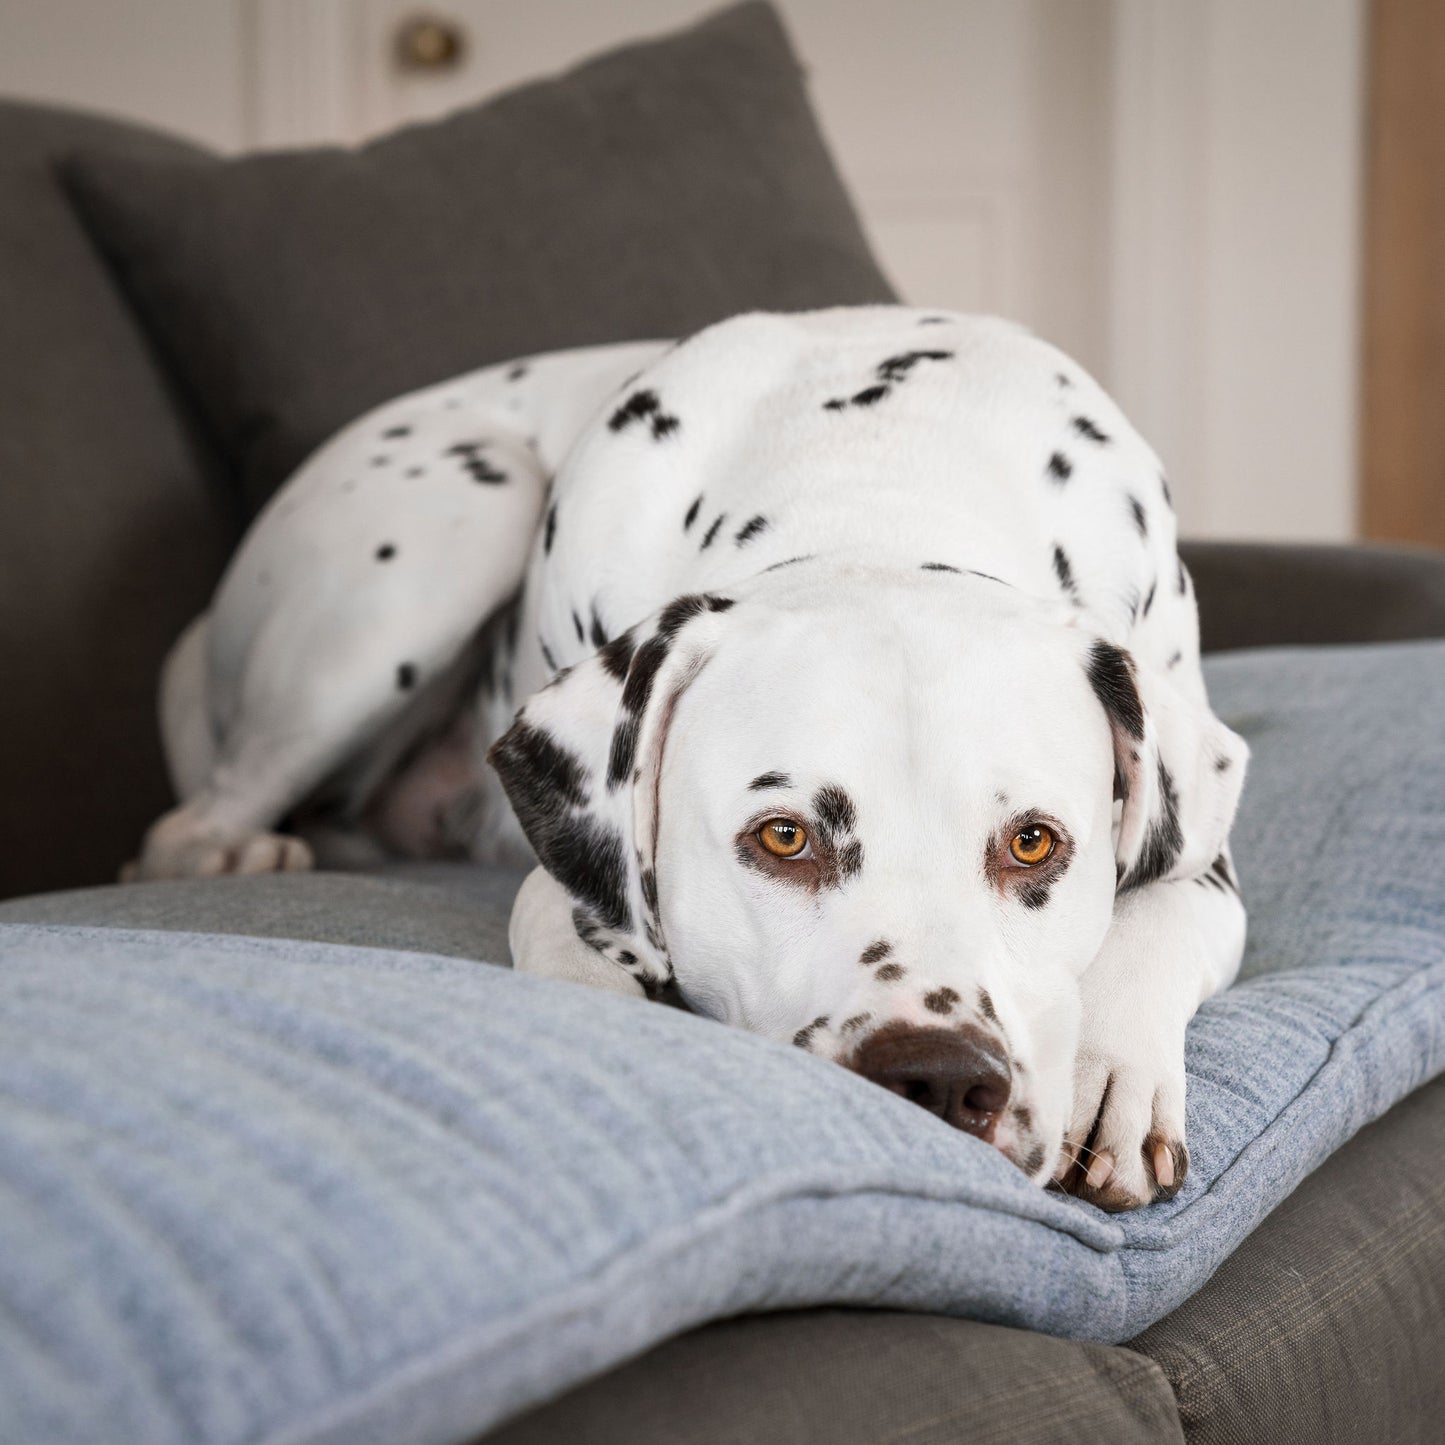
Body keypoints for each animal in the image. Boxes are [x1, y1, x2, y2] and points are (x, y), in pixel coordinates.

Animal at [130, 304, 1248, 1208]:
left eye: (1031, 843)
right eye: (783, 836)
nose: (936, 1073)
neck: (871, 473)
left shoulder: (1201, 841)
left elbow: (1160, 909)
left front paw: (1111, 1076)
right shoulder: (575, 872)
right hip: (448, 528)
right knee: (191, 820)